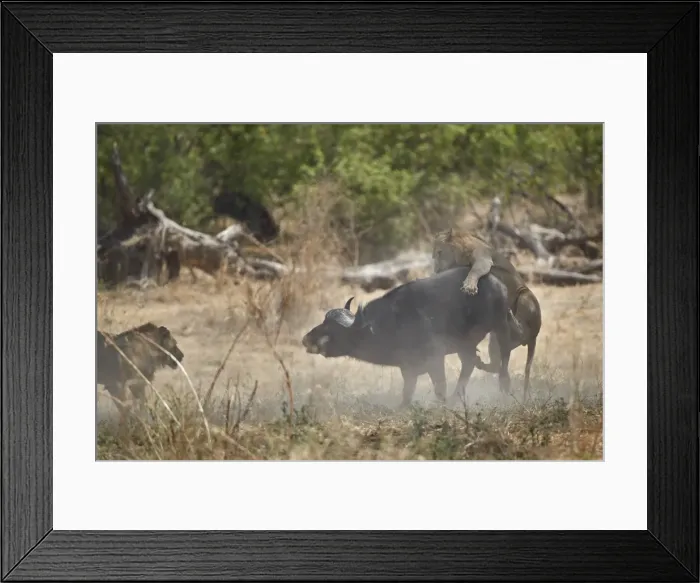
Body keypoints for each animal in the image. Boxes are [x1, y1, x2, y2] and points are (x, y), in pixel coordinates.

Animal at [302, 266, 522, 408]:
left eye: (332, 329)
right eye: (323, 321)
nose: (305, 339)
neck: (390, 324)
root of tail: (497, 284)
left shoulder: (435, 359)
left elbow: (439, 386)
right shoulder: (407, 368)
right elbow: (408, 391)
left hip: (500, 327)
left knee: (503, 360)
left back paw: (504, 388)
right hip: (465, 345)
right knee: (468, 364)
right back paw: (457, 397)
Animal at [432, 227, 542, 398]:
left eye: (439, 252)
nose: (436, 270)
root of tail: (534, 337)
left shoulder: (483, 259)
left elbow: (475, 270)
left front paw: (469, 286)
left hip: (524, 295)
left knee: (523, 331)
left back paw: (511, 317)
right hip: (495, 339)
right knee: (498, 363)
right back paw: (481, 363)